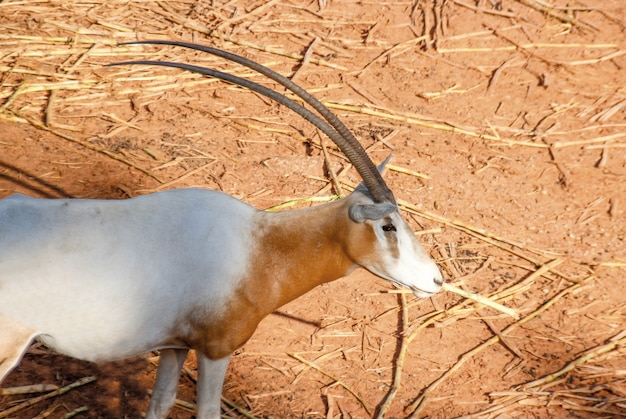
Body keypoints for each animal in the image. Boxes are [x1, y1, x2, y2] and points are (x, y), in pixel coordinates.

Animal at [0, 40, 442, 419]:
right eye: (388, 226)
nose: (436, 281)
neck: (261, 247)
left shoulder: (175, 346)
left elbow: (160, 402)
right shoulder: (217, 348)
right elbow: (208, 411)